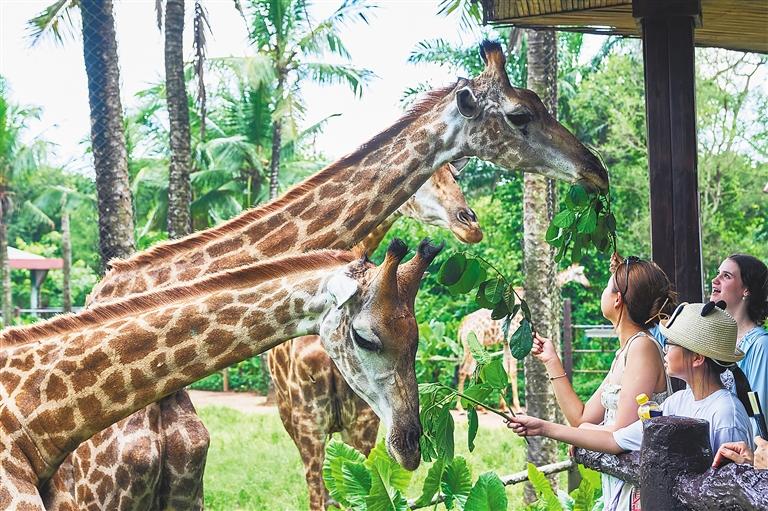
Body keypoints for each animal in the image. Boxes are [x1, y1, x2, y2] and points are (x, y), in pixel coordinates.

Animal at [460, 264, 592, 412]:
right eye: (579, 273)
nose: (588, 284)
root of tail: (461, 327)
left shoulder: (506, 342)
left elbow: (505, 369)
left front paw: (503, 406)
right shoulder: (511, 338)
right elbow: (512, 371)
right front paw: (516, 406)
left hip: (471, 346)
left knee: (469, 370)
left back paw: (476, 406)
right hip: (471, 345)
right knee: (463, 369)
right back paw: (461, 407)